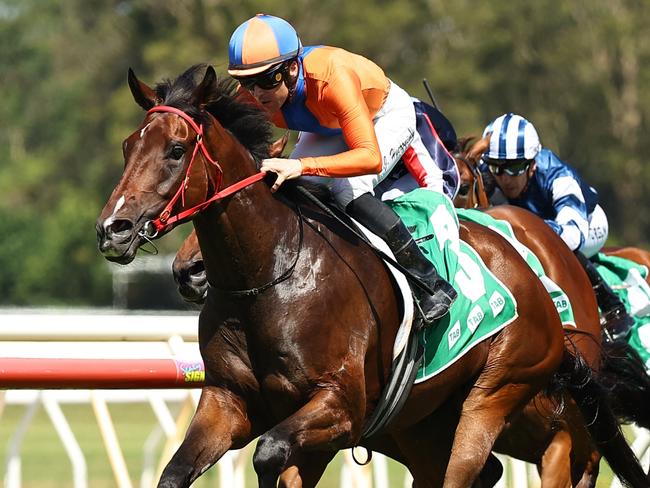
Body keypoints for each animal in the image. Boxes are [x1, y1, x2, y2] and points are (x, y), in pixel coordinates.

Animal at [93, 66, 644, 488]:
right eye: (126, 146)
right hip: (424, 424)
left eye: (176, 149)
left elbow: (270, 453)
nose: (113, 228)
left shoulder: (339, 408)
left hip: (499, 393)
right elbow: (178, 472)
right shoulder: (227, 402)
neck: (269, 275)